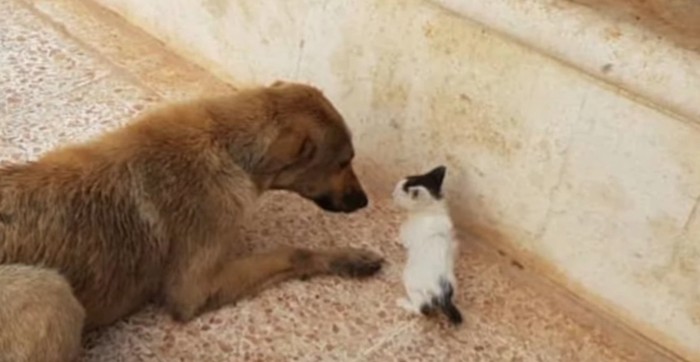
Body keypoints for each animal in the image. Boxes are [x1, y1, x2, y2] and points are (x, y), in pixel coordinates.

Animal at [0, 80, 382, 360]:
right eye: (343, 162)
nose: (364, 201)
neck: (226, 144)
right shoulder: (195, 290)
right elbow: (294, 252)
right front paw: (348, 258)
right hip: (51, 291)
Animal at [392, 165, 462, 324]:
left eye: (401, 192)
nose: (392, 193)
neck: (431, 207)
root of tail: (442, 295)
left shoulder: (407, 232)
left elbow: (402, 239)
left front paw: (396, 241)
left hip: (411, 282)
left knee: (423, 309)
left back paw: (402, 303)